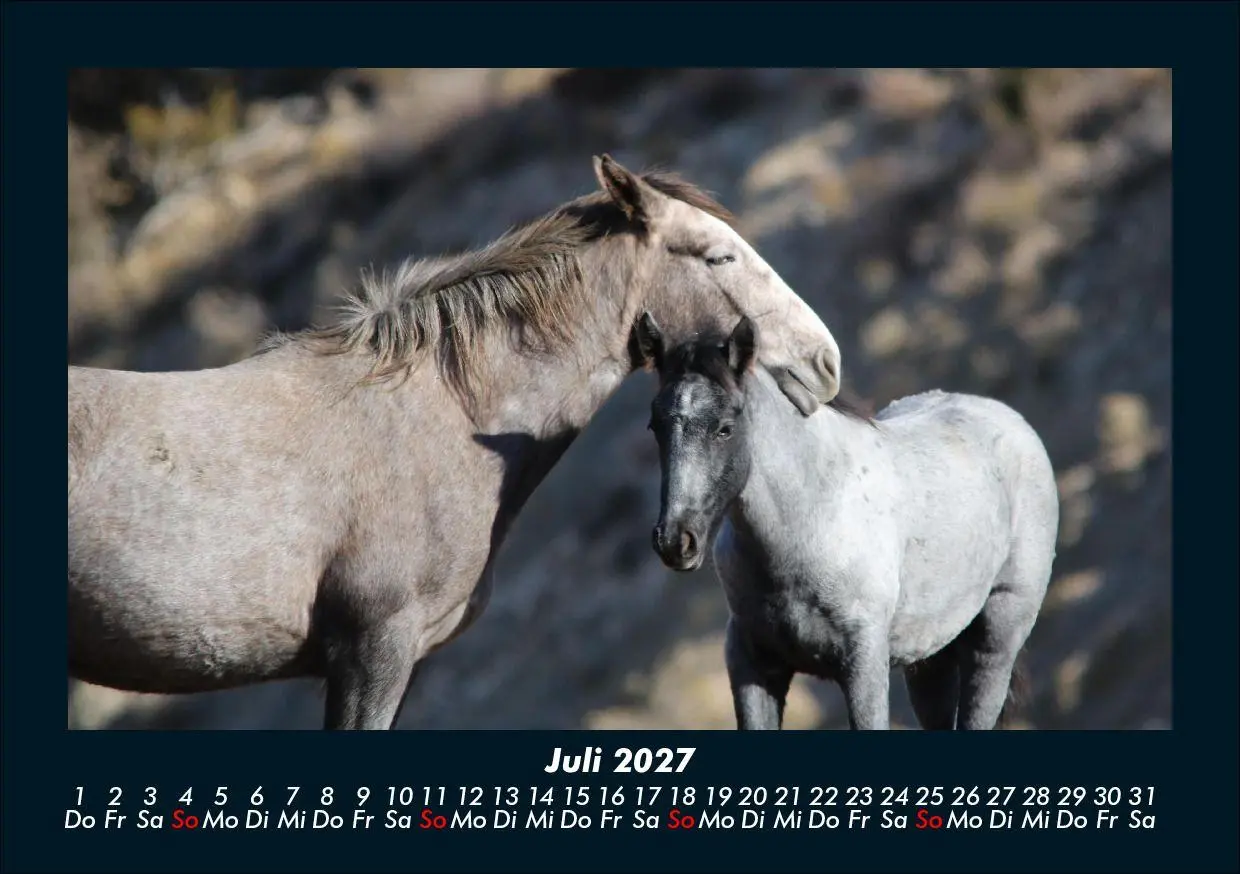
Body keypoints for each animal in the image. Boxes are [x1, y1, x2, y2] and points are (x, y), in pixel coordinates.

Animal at [635, 314, 1058, 730]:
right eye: (655, 425)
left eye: (724, 428)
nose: (675, 540)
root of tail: (1012, 422)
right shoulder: (752, 667)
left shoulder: (863, 668)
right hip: (930, 662)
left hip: (994, 643)